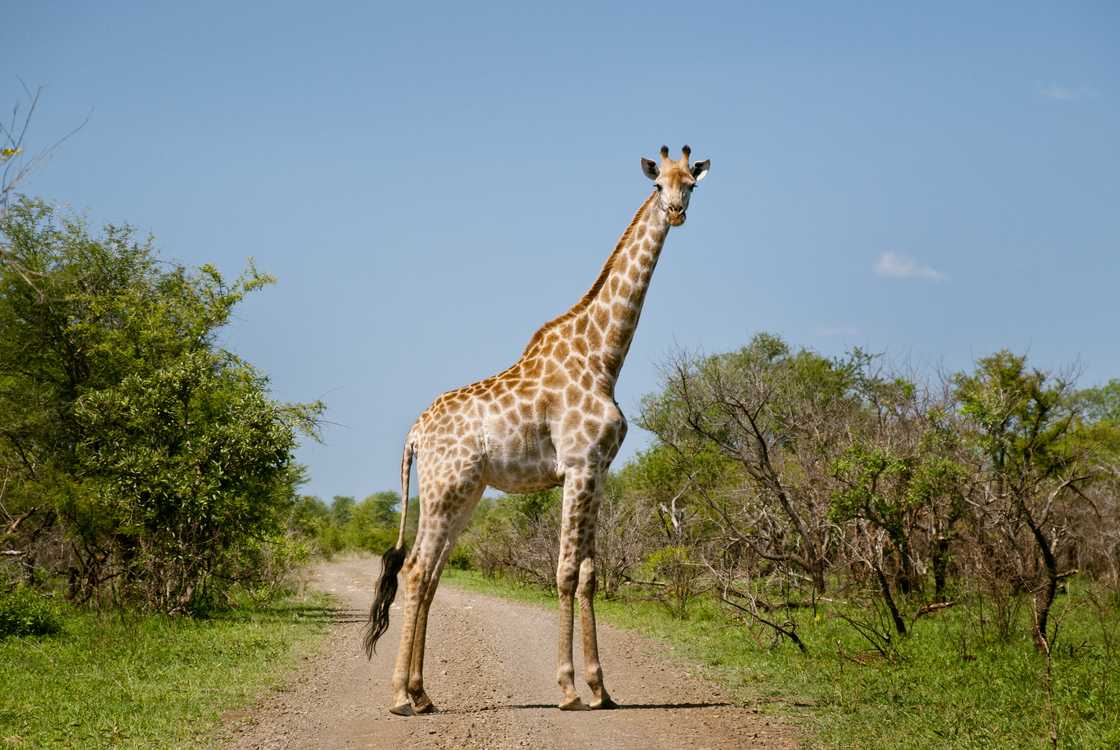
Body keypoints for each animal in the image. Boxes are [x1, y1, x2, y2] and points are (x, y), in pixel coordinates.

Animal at [364, 145, 710, 716]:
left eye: (692, 184)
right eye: (658, 184)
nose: (677, 211)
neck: (603, 358)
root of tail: (414, 434)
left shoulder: (598, 471)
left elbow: (590, 573)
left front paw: (601, 689)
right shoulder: (578, 465)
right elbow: (566, 570)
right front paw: (569, 689)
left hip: (464, 494)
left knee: (430, 575)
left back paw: (422, 693)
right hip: (443, 490)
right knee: (415, 571)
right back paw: (398, 697)